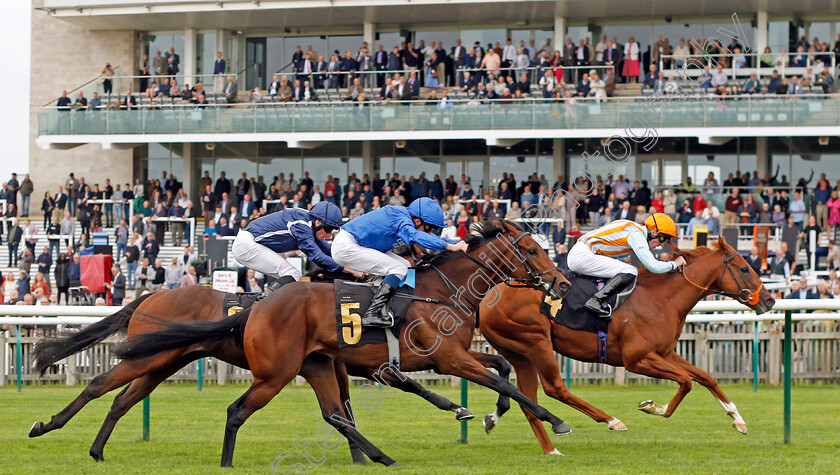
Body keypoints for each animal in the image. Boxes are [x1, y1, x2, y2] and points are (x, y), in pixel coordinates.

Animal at [29, 284, 506, 462]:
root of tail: (150, 294)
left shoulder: (336, 362)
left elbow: (344, 411)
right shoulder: (362, 362)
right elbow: (357, 405)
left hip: (162, 362)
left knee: (122, 399)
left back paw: (95, 449)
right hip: (148, 358)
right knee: (98, 385)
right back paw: (45, 426)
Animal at [113, 221, 572, 470]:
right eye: (532, 250)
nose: (563, 283)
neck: (442, 291)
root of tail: (257, 310)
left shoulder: (454, 354)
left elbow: (502, 369)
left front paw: (491, 415)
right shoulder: (447, 358)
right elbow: (505, 381)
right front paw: (555, 421)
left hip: (309, 364)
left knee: (331, 414)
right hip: (275, 371)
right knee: (236, 410)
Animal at [472, 236, 776, 456]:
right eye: (744, 268)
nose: (770, 300)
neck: (662, 299)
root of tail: (487, 297)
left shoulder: (664, 353)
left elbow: (705, 377)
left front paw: (738, 419)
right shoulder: (637, 359)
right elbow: (686, 381)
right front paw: (653, 407)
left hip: (519, 352)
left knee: (526, 397)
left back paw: (545, 446)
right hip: (536, 341)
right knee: (554, 388)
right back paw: (610, 420)